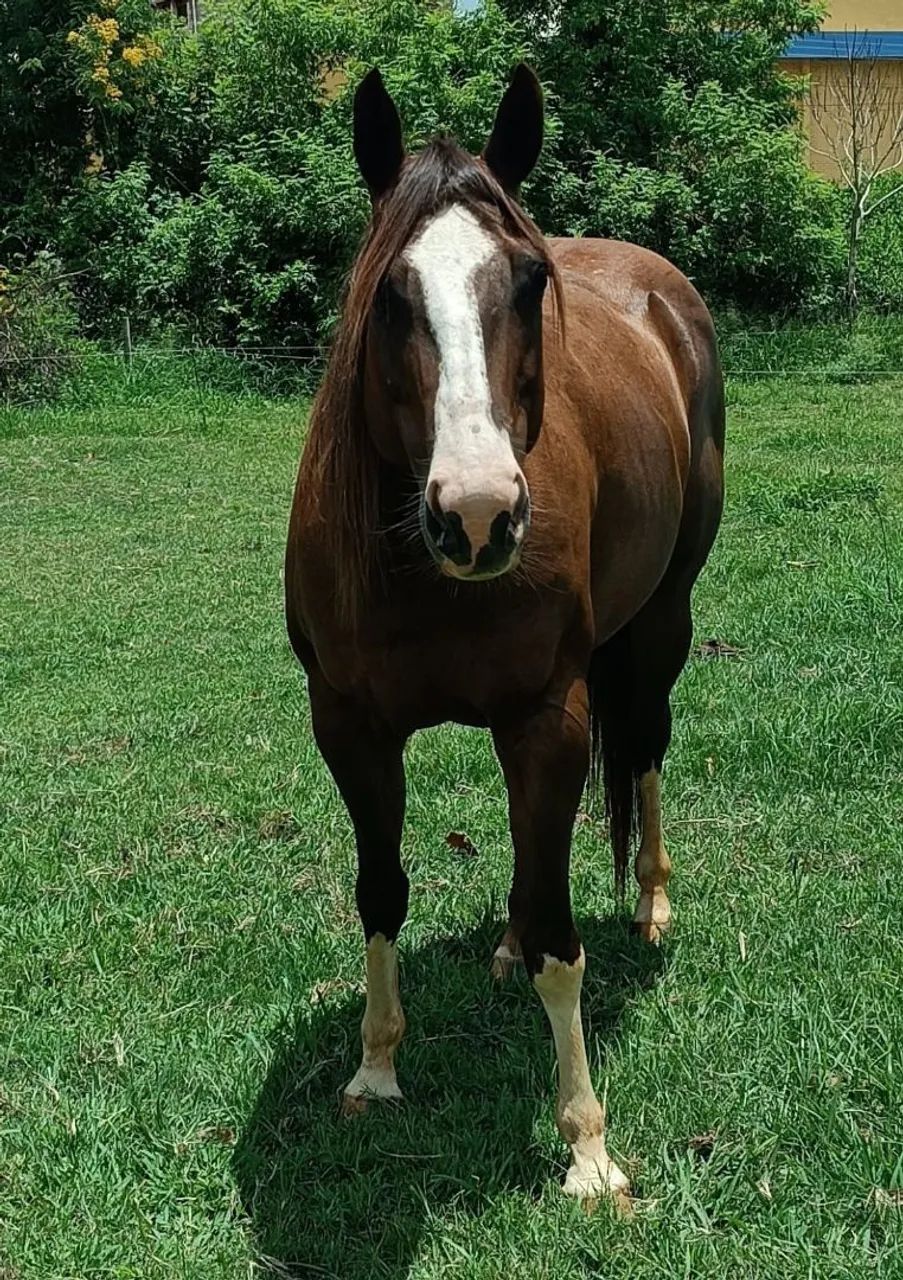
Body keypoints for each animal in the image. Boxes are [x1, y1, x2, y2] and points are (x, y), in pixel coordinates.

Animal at [284, 64, 725, 1201]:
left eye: (527, 283)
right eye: (390, 294)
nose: (477, 512)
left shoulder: (547, 716)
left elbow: (566, 943)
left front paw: (587, 1147)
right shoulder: (349, 727)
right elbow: (381, 889)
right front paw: (376, 1067)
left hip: (659, 627)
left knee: (645, 747)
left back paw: (651, 900)